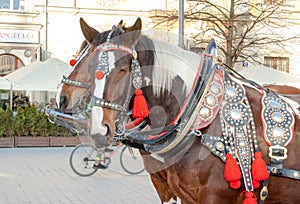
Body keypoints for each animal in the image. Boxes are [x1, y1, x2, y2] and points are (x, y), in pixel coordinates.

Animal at [49, 17, 300, 204]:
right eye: (91, 66)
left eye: (124, 68)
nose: (62, 97)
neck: (196, 117)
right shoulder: (169, 189)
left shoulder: (215, 197)